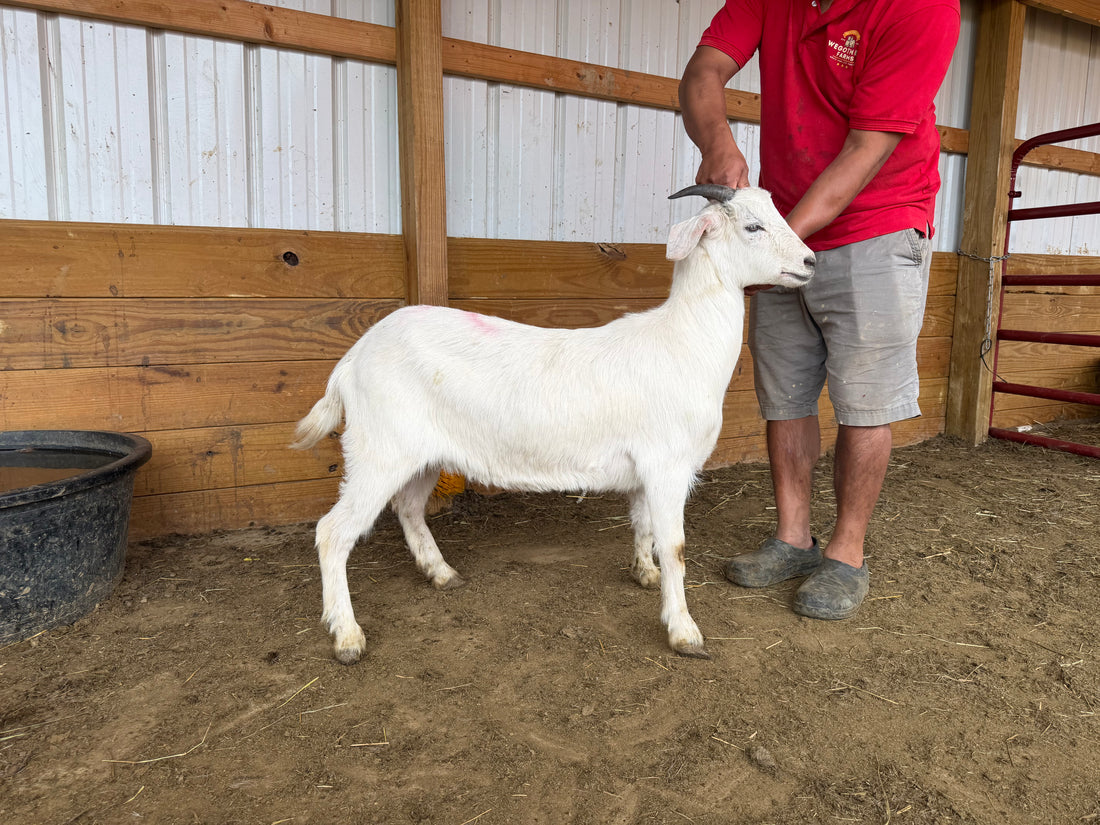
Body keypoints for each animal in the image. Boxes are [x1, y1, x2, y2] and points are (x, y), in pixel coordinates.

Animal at [291, 185, 815, 664]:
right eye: (753, 226)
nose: (810, 262)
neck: (682, 341)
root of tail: (353, 358)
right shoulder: (667, 465)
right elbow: (677, 548)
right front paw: (684, 631)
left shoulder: (645, 471)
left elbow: (643, 524)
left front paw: (644, 572)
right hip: (380, 450)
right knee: (332, 532)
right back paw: (346, 636)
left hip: (422, 454)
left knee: (408, 509)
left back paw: (441, 573)